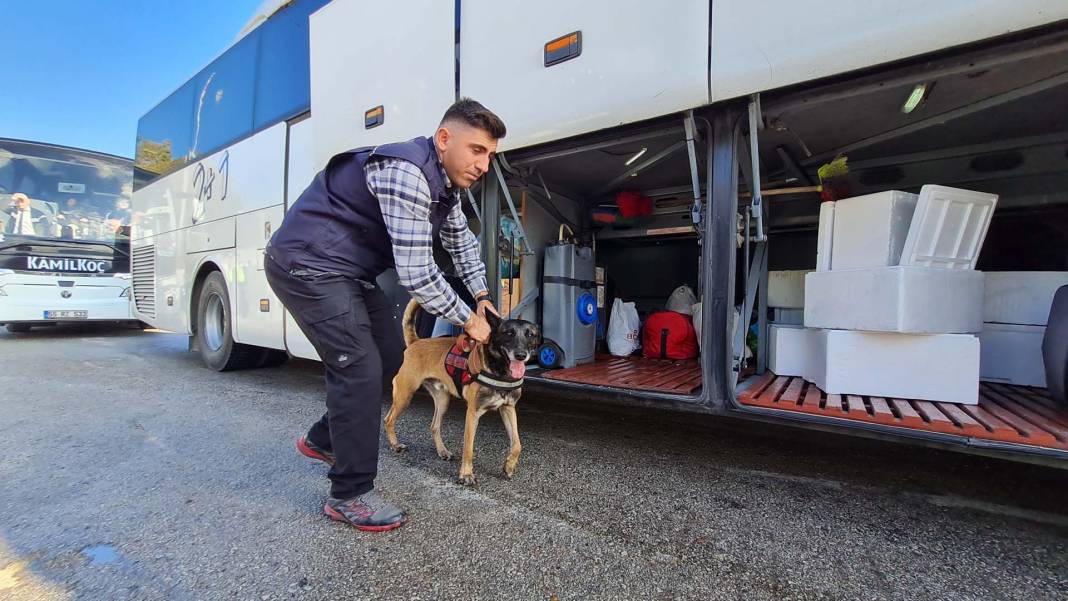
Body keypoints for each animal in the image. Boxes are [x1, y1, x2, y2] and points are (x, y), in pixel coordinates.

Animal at [384, 298, 542, 486]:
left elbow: (517, 444)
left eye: (530, 335)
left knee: (434, 426)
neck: (499, 370)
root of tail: (416, 342)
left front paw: (509, 466)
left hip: (443, 401)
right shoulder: (473, 413)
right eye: (508, 333)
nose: (521, 355)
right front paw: (466, 474)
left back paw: (442, 451)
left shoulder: (508, 409)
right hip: (404, 396)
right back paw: (395, 445)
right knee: (388, 420)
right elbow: (469, 448)